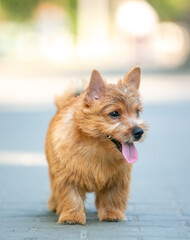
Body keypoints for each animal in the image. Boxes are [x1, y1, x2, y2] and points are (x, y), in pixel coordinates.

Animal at [45, 66, 148, 225]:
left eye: (137, 112)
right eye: (114, 114)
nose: (139, 132)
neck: (97, 148)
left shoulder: (117, 179)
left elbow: (113, 197)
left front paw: (112, 214)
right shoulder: (66, 176)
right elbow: (71, 196)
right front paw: (72, 216)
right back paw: (54, 205)